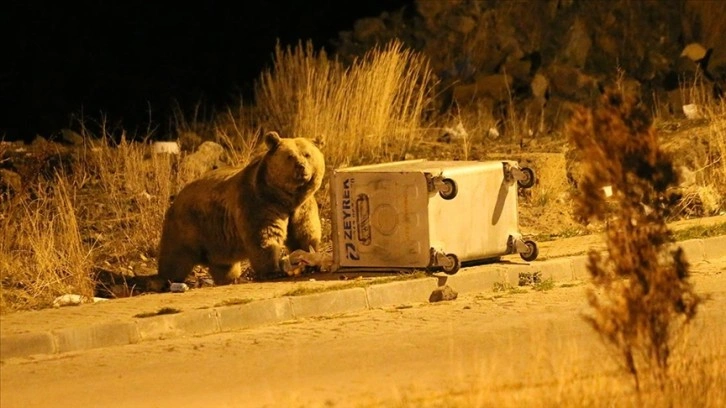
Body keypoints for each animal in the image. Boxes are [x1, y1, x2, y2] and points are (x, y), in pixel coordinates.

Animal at [158, 131, 326, 284]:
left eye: (307, 154)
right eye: (290, 156)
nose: (301, 167)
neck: (286, 198)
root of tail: (177, 197)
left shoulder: (302, 208)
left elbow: (304, 233)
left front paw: (310, 260)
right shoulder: (260, 203)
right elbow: (264, 236)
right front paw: (273, 271)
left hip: (217, 239)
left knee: (223, 264)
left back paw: (230, 278)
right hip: (189, 225)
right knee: (175, 257)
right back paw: (164, 280)